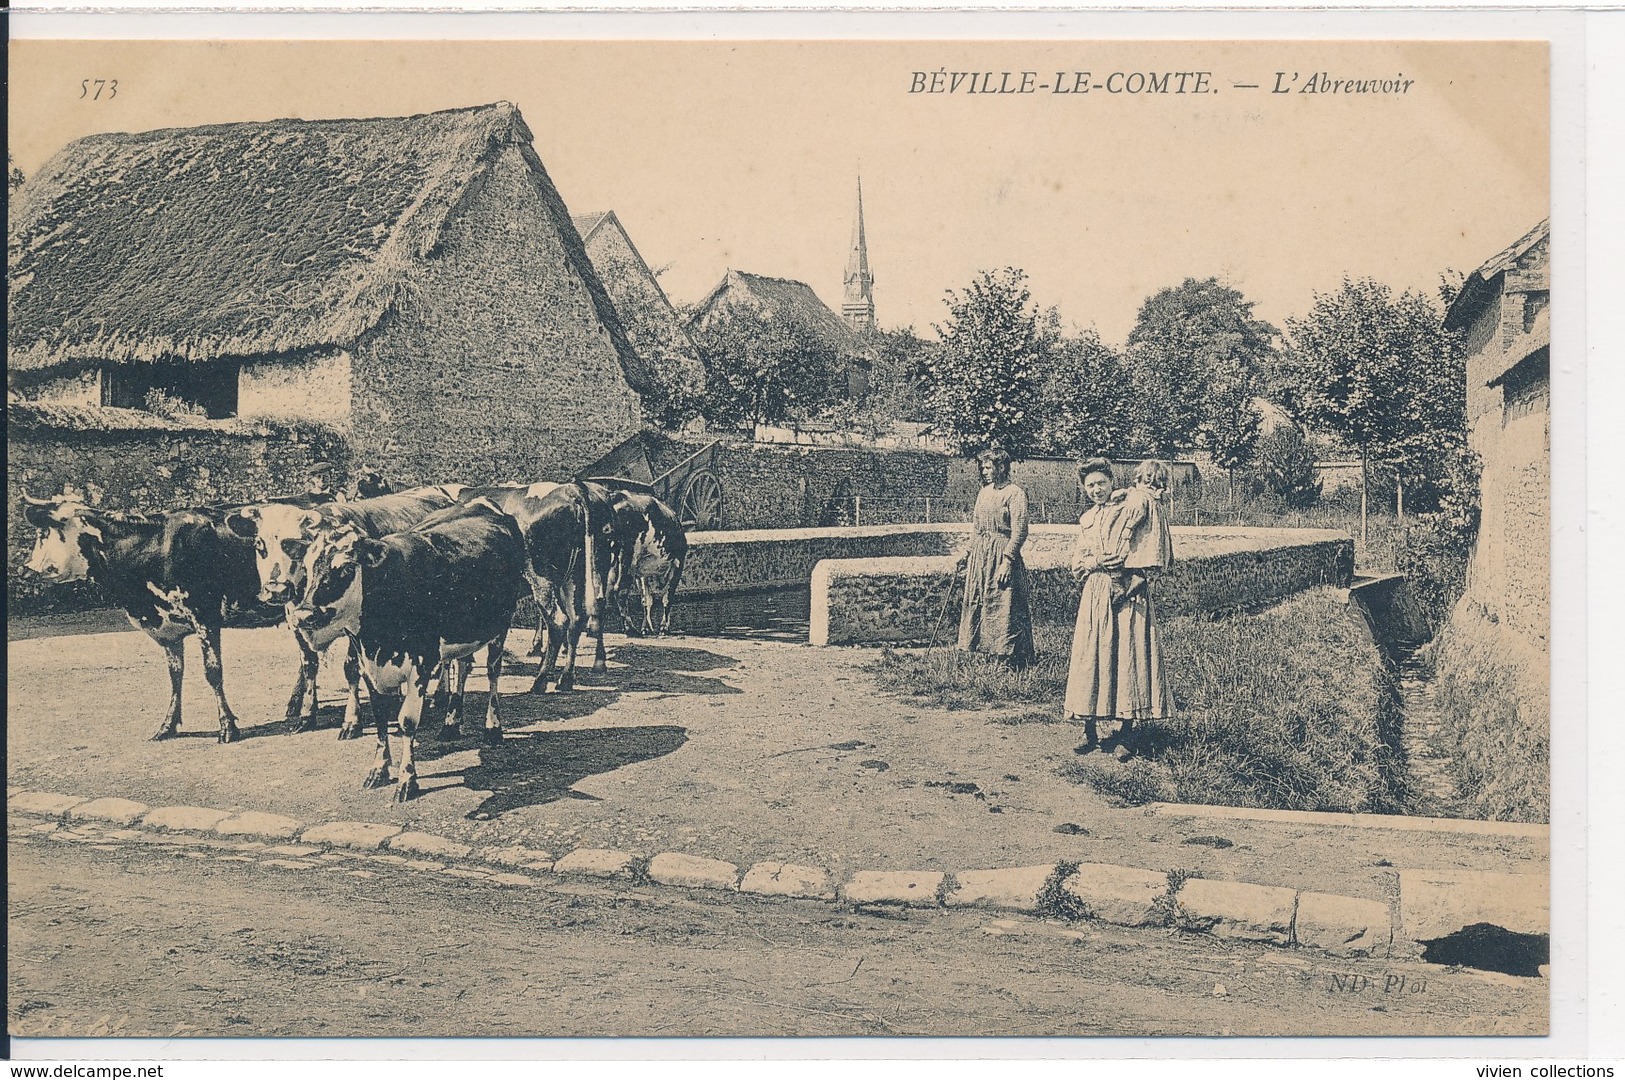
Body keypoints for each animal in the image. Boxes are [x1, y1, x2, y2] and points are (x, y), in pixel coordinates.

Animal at [21, 487, 329, 740]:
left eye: (45, 532)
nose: (27, 569)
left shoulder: (206, 617)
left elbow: (213, 673)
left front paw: (227, 726)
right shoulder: (167, 631)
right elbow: (174, 677)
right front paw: (167, 726)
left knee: (310, 658)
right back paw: (295, 705)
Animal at [225, 483, 464, 737]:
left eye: (293, 546)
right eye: (258, 545)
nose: (276, 589)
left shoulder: (354, 628)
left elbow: (351, 669)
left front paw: (352, 720)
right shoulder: (297, 623)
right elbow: (309, 666)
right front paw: (306, 716)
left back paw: (440, 695)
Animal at [286, 500, 526, 799]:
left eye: (345, 569)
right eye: (306, 569)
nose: (303, 615)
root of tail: (481, 502)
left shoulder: (421, 665)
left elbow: (406, 722)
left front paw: (407, 779)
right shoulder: (369, 666)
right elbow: (380, 719)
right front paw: (378, 770)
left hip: (499, 626)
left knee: (493, 674)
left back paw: (493, 729)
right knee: (463, 666)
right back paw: (450, 724)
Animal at [607, 490, 689, 636]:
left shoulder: (641, 574)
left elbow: (646, 601)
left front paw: (646, 628)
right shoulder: (678, 563)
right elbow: (668, 598)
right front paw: (664, 627)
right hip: (627, 558)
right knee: (620, 590)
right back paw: (630, 629)